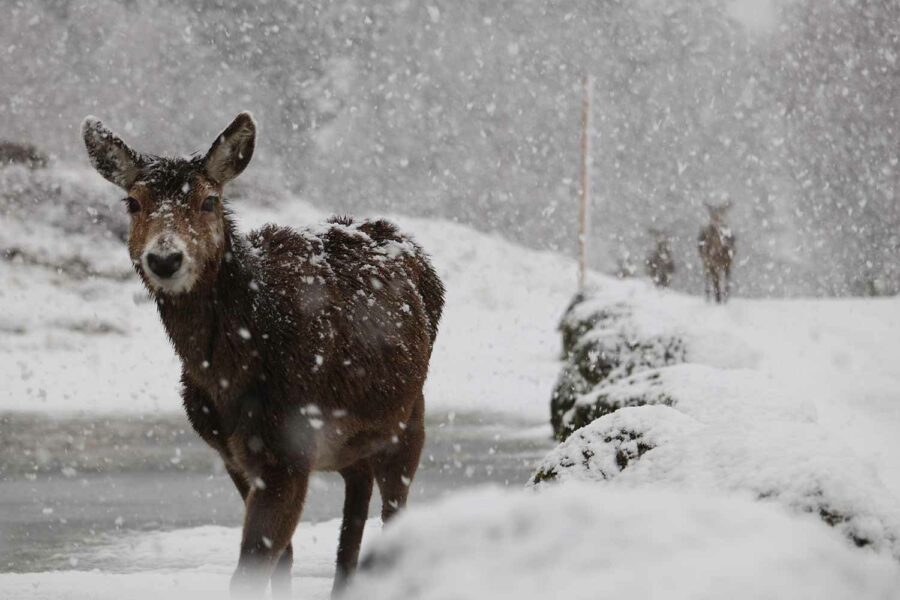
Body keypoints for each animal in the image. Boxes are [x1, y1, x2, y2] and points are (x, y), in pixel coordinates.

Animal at [79, 111, 444, 596]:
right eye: (133, 203)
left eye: (209, 201)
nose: (165, 259)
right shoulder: (232, 454)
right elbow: (281, 558)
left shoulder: (288, 448)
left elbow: (251, 565)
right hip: (350, 441)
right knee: (356, 501)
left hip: (409, 416)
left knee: (394, 510)